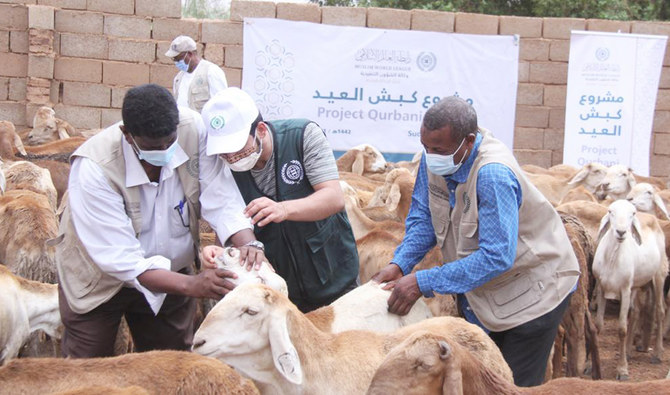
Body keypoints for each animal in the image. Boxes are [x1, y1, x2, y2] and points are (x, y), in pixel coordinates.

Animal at [596, 201, 668, 380]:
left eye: (632, 213)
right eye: (610, 211)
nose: (621, 232)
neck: (612, 260)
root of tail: (650, 217)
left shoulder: (625, 289)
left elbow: (622, 329)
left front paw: (622, 370)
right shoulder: (601, 288)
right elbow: (598, 325)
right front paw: (589, 365)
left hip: (659, 275)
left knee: (660, 310)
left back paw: (657, 353)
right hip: (636, 284)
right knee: (635, 312)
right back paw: (628, 351)